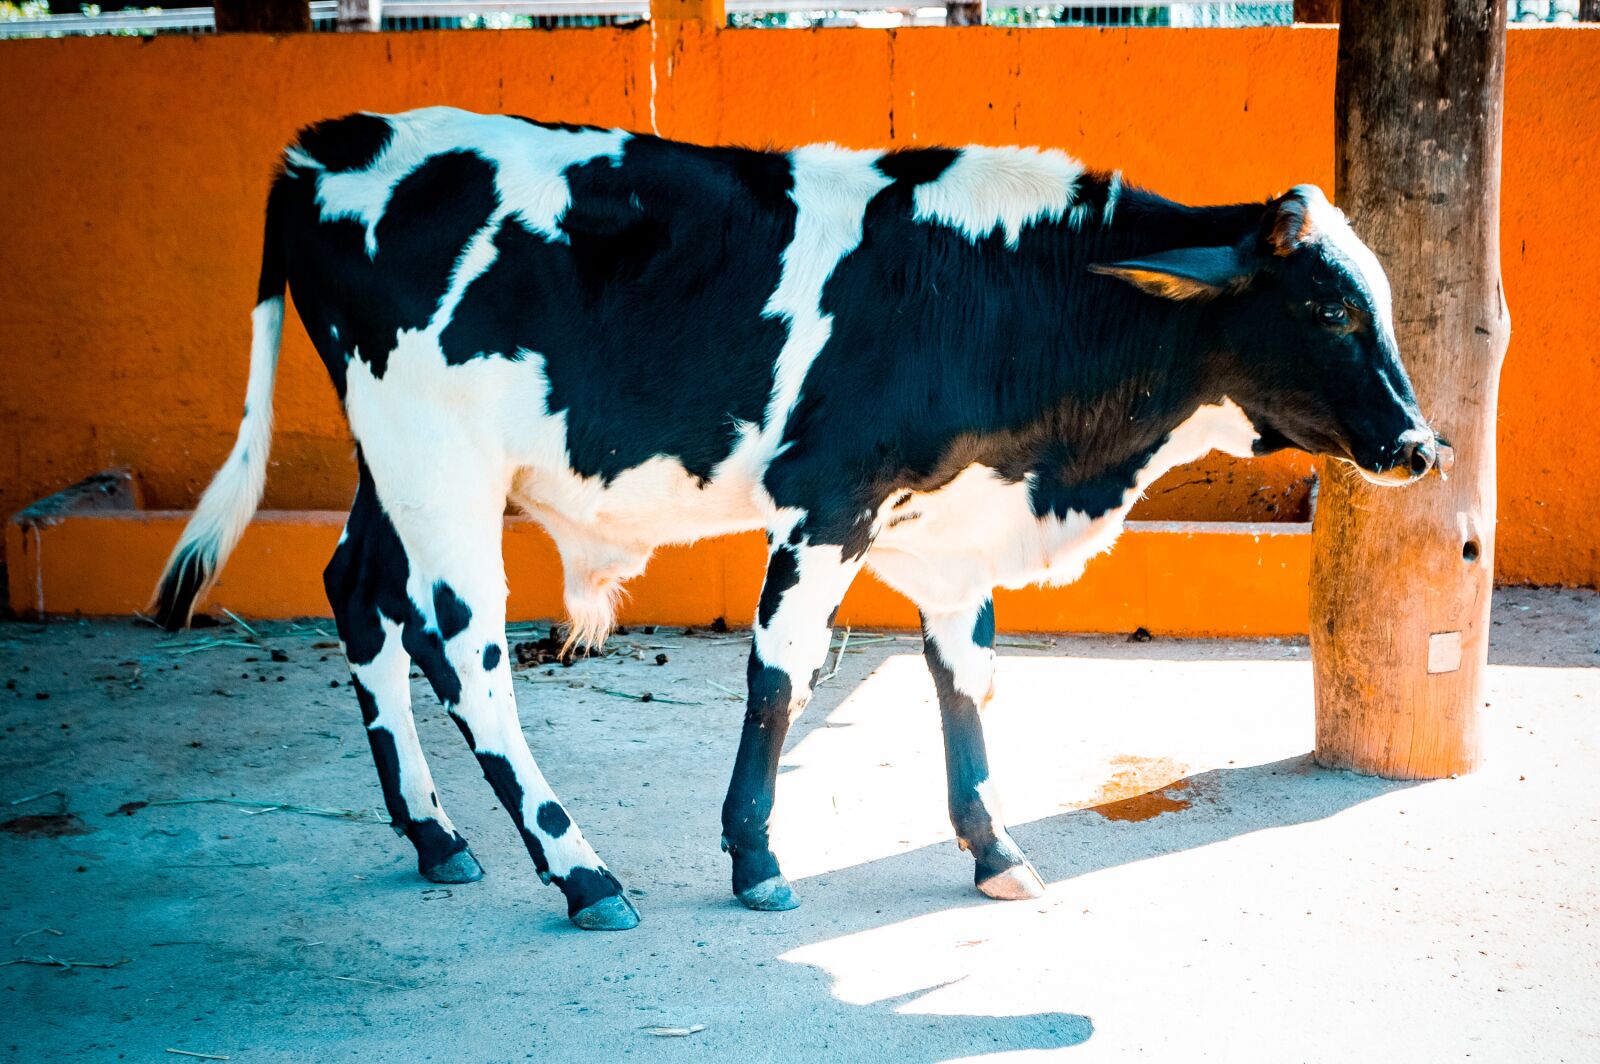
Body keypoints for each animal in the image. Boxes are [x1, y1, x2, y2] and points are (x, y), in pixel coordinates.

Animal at [153, 106, 1442, 931]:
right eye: (1327, 306)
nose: (1422, 444)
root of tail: (332, 142)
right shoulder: (828, 500)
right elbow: (781, 674)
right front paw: (756, 854)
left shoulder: (950, 520)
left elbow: (962, 679)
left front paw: (994, 848)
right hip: (438, 460)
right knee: (463, 649)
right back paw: (579, 870)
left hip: (397, 467)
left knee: (359, 596)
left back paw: (434, 836)